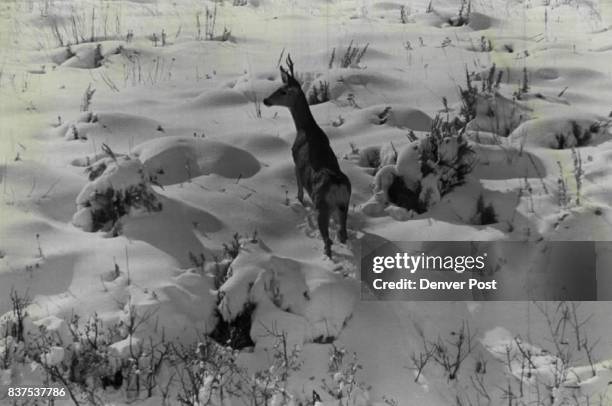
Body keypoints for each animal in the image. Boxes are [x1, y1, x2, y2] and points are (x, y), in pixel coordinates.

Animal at [264, 54, 354, 256]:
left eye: (283, 91)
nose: (265, 100)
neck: (305, 129)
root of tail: (337, 185)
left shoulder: (296, 162)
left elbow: (298, 190)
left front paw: (298, 202)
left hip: (322, 205)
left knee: (327, 238)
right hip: (344, 206)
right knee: (343, 233)